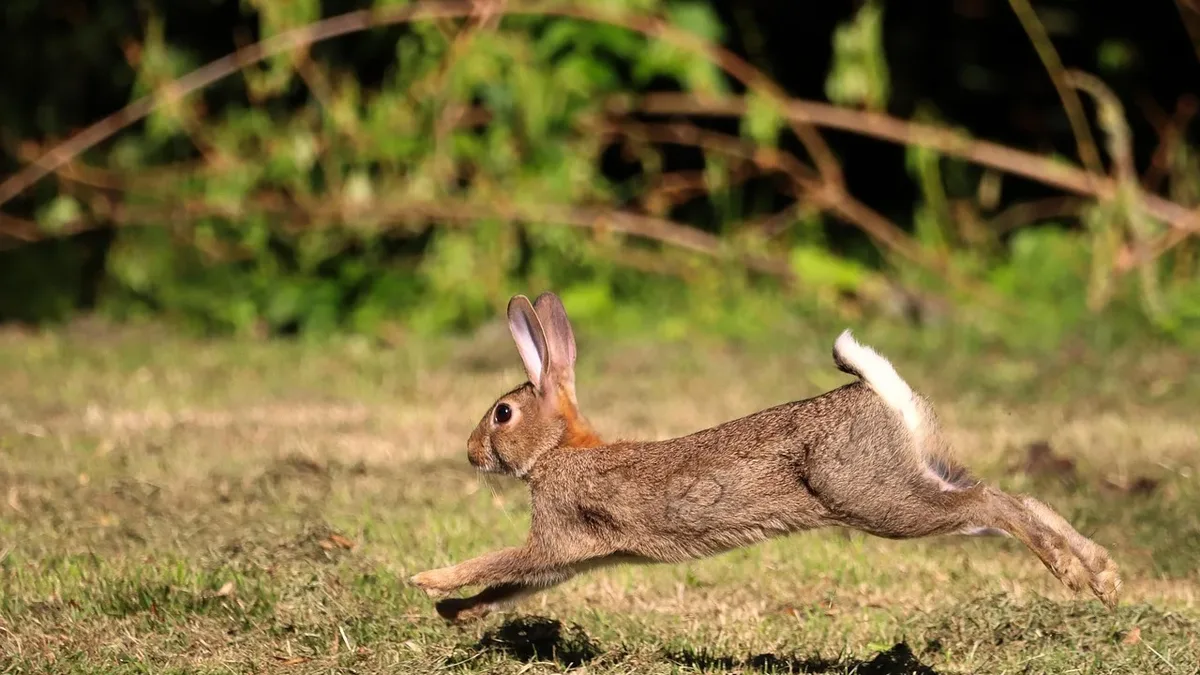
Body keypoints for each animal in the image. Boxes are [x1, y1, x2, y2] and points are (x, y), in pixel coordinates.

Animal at [409, 291, 1121, 623]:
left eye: (502, 414)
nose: (470, 452)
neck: (559, 451)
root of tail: (877, 394)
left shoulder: (556, 535)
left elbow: (500, 563)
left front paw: (427, 581)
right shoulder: (575, 557)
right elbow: (512, 585)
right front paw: (457, 614)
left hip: (879, 500)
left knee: (992, 502)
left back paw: (1075, 575)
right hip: (925, 476)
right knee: (1013, 497)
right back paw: (1103, 574)